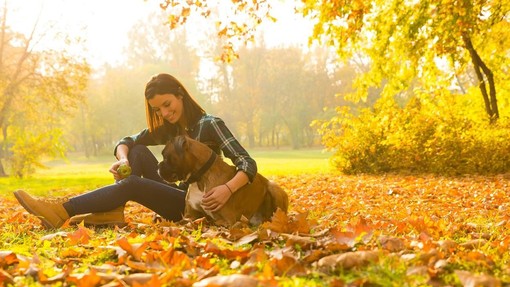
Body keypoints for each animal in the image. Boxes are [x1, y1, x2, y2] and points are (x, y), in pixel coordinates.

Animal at [157, 136, 288, 227]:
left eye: (165, 156)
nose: (158, 166)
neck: (200, 179)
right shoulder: (189, 215)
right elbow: (177, 223)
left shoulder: (228, 219)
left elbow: (213, 222)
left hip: (273, 188)